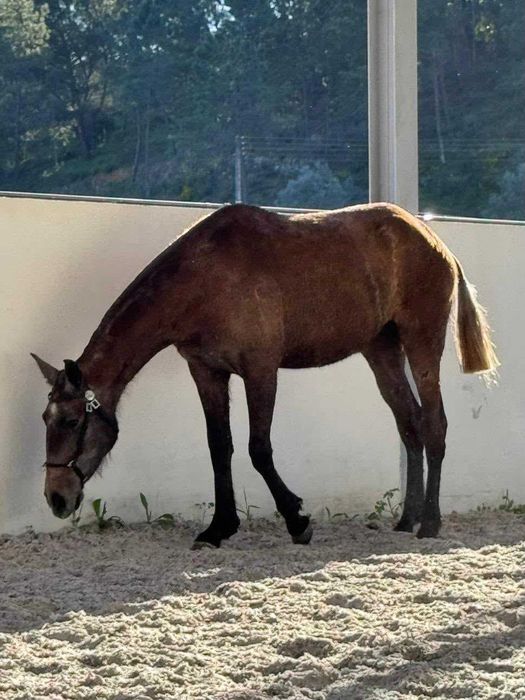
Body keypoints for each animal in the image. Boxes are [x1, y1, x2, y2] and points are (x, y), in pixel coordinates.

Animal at [32, 202, 498, 547]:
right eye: (45, 419)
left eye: (71, 421)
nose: (55, 497)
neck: (205, 278)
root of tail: (433, 240)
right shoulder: (207, 373)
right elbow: (219, 448)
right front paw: (219, 528)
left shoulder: (260, 372)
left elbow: (258, 449)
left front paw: (297, 519)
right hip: (381, 351)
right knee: (410, 424)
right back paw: (407, 519)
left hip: (421, 343)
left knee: (434, 424)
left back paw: (430, 523)